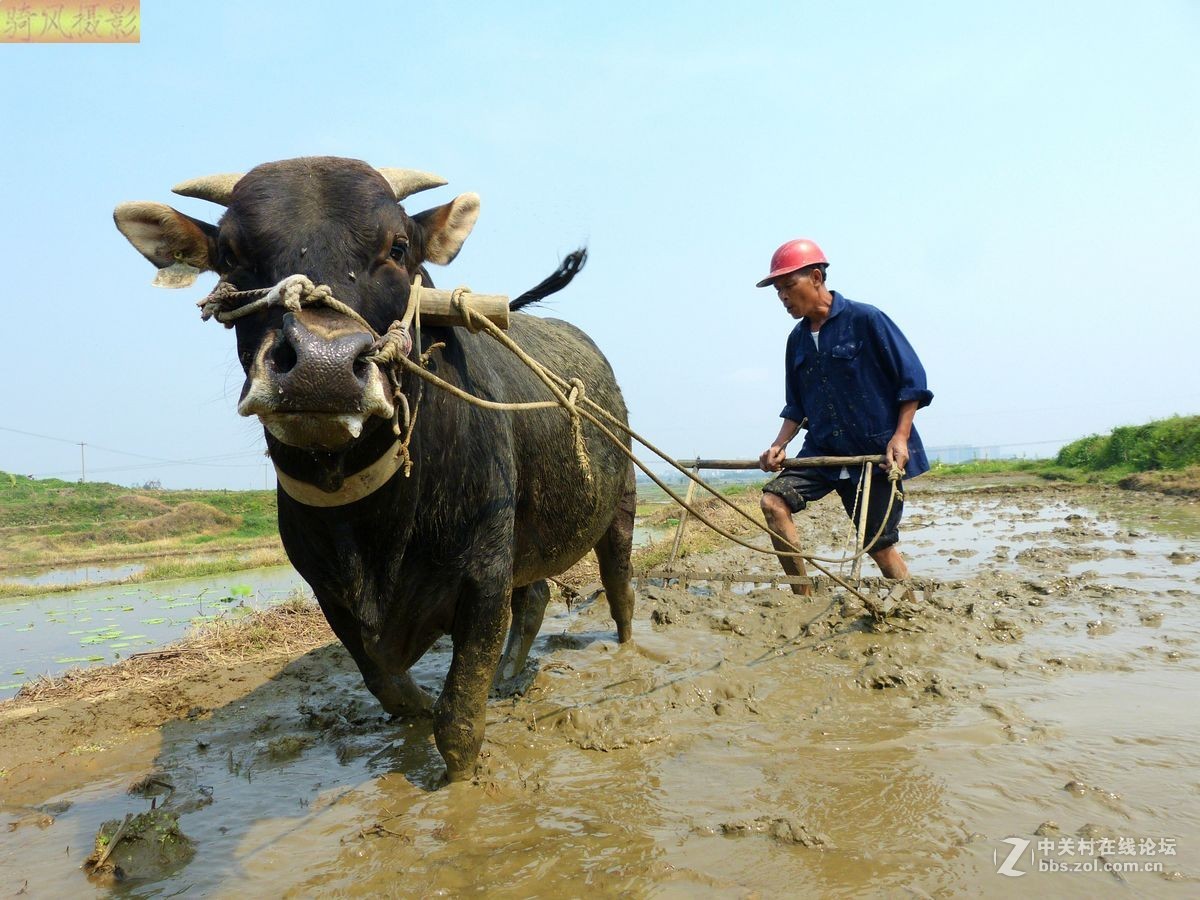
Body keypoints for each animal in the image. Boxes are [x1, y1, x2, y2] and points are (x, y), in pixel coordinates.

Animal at [114, 158, 638, 787]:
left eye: (398, 246)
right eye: (234, 253)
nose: (321, 368)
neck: (374, 520)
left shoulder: (484, 576)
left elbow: (458, 719)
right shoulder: (332, 596)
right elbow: (390, 687)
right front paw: (416, 711)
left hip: (621, 508)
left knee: (619, 588)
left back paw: (627, 649)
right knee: (535, 596)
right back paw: (512, 675)